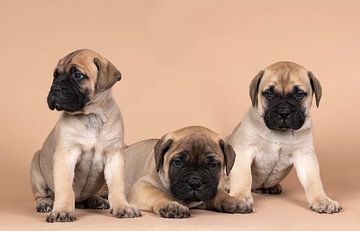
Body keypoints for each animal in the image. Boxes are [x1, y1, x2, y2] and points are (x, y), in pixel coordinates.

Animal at [29, 48, 141, 222]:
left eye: (78, 75)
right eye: (55, 75)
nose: (55, 88)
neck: (92, 116)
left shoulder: (114, 156)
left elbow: (117, 186)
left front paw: (123, 207)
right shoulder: (66, 155)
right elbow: (65, 188)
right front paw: (62, 211)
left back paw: (97, 200)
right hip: (36, 165)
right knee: (42, 194)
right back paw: (45, 203)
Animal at [226, 61, 342, 213]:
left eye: (299, 94)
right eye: (268, 94)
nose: (283, 112)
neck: (281, 133)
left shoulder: (305, 157)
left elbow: (314, 180)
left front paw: (322, 200)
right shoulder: (244, 151)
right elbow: (243, 176)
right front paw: (240, 197)